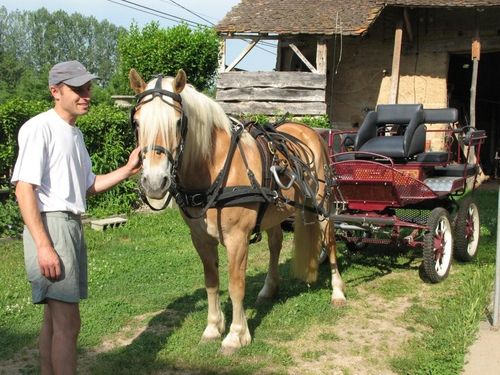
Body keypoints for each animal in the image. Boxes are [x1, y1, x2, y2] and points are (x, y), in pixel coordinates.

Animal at [129, 69, 346, 354]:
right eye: (137, 123)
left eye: (177, 123)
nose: (155, 182)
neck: (216, 168)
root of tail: (309, 131)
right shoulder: (200, 238)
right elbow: (211, 282)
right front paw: (212, 327)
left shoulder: (237, 238)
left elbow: (235, 285)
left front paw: (236, 334)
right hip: (276, 211)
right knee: (275, 244)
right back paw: (269, 289)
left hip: (322, 205)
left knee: (329, 242)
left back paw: (338, 292)